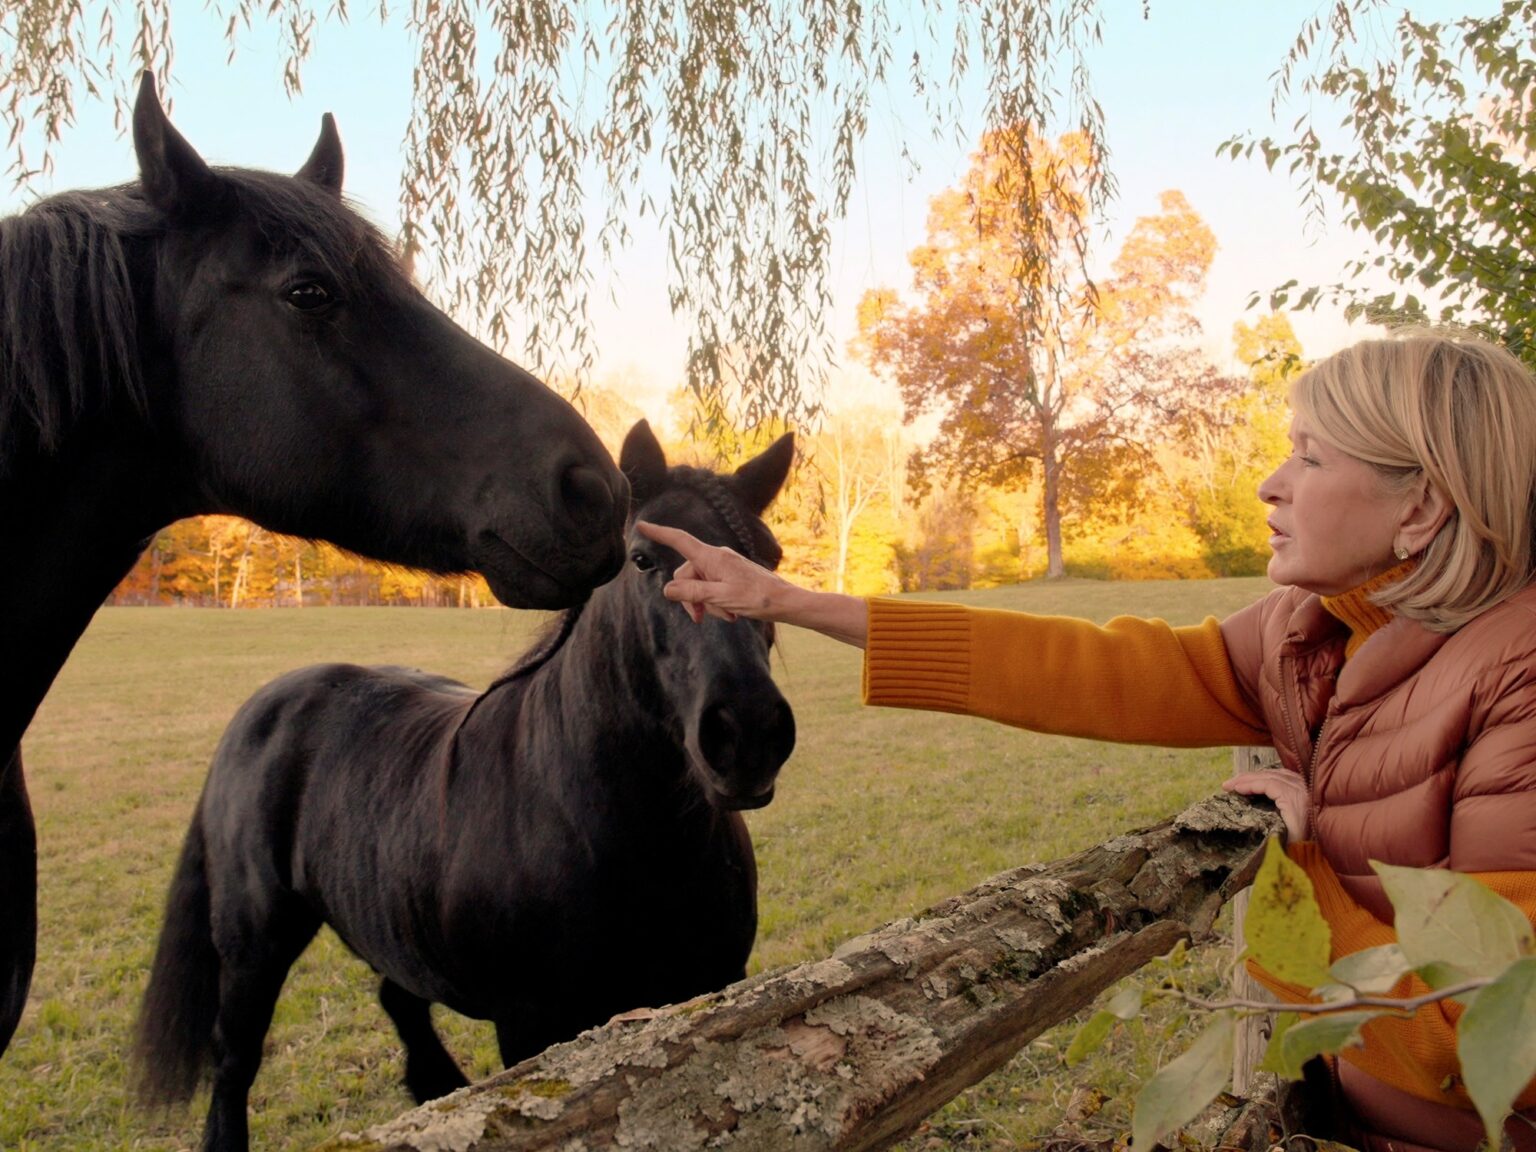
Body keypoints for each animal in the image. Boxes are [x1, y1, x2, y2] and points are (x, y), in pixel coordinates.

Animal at [131, 420, 796, 1151]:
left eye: (769, 559)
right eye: (644, 559)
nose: (747, 730)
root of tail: (264, 704)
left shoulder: (711, 988)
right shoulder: (534, 1026)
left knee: (397, 998)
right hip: (254, 943)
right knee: (235, 1059)